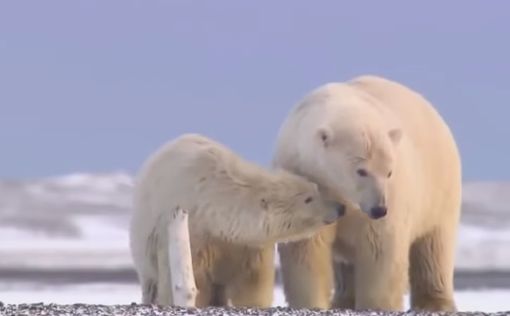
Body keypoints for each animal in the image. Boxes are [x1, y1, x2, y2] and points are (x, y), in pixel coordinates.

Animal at [128, 133, 346, 308]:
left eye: (316, 188)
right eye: (308, 198)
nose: (339, 207)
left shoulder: (245, 246)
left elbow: (252, 282)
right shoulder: (194, 235)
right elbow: (194, 278)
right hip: (144, 237)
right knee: (150, 279)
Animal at [272, 76, 464, 312]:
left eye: (389, 171)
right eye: (361, 170)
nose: (379, 209)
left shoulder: (394, 194)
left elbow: (380, 247)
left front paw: (378, 305)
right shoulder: (304, 175)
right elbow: (306, 247)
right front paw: (311, 303)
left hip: (439, 188)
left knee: (434, 246)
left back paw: (435, 303)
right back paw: (343, 300)